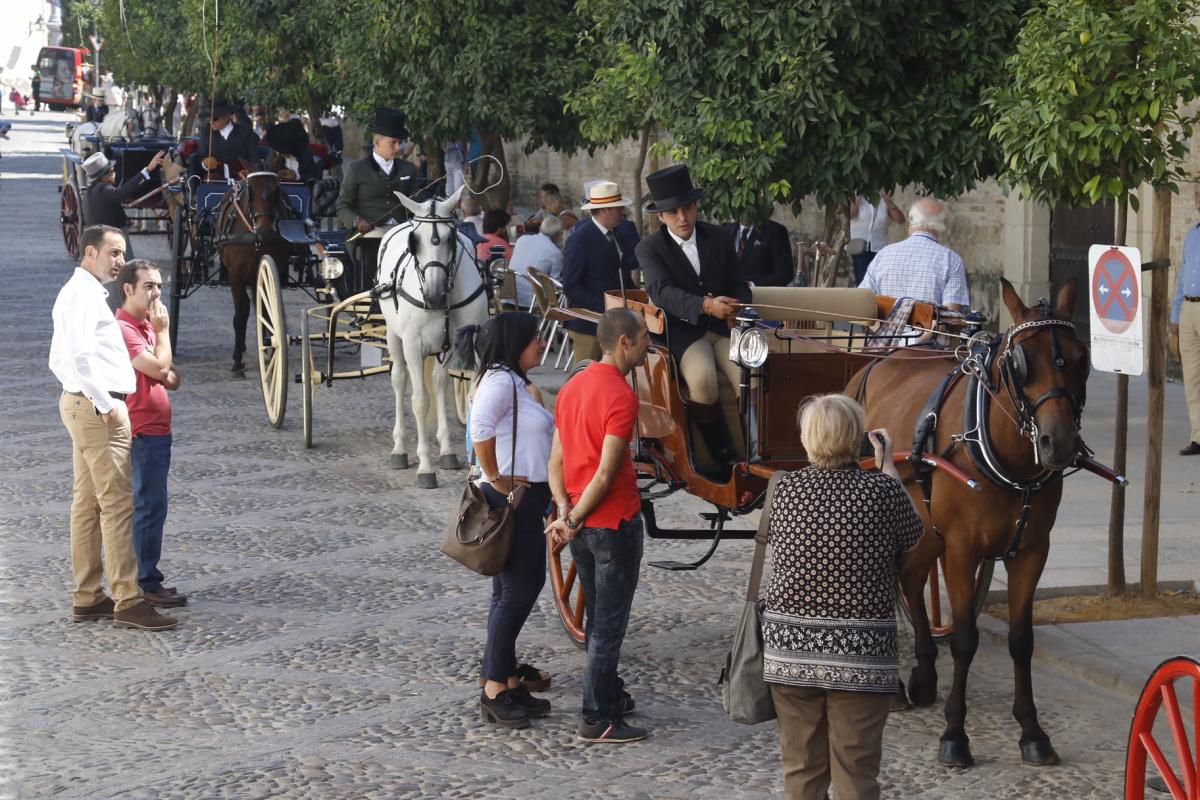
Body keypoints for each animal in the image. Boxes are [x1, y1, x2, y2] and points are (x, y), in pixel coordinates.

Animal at [214, 171, 291, 376]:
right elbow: (241, 314)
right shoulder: (235, 275)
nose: (266, 231)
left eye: (276, 191)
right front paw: (237, 361)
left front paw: (270, 347)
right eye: (251, 192)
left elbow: (267, 309)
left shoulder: (272, 269)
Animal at [374, 185, 487, 489]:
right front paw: (425, 465)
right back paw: (400, 448)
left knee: (436, 384)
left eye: (451, 238)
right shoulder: (413, 345)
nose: (435, 295)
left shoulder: (459, 343)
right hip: (394, 335)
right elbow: (420, 401)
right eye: (416, 241)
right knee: (400, 381)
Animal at [844, 280, 1089, 767]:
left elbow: (1021, 639)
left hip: (923, 523)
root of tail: (880, 361)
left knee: (911, 577)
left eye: (1081, 357)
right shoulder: (962, 548)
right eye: (1020, 362)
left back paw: (921, 674)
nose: (1060, 443)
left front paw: (1032, 731)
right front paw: (955, 734)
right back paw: (895, 685)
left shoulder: (1032, 550)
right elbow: (964, 638)